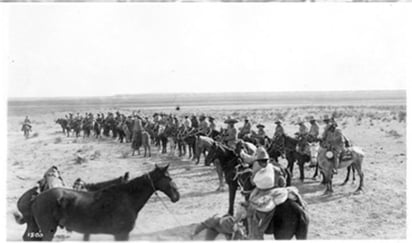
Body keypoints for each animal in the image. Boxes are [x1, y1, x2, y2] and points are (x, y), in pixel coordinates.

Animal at [29, 164, 177, 240]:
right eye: (169, 178)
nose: (177, 195)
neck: (126, 198)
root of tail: (37, 198)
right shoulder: (122, 235)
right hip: (48, 231)